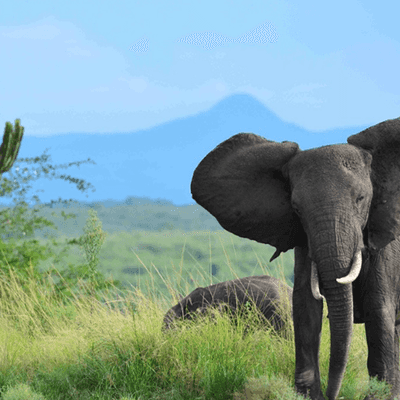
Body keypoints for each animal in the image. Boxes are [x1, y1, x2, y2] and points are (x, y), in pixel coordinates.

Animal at [190, 119, 400, 400]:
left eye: (361, 199)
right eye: (297, 208)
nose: (333, 395)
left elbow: (379, 309)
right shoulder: (303, 239)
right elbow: (304, 306)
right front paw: (308, 394)